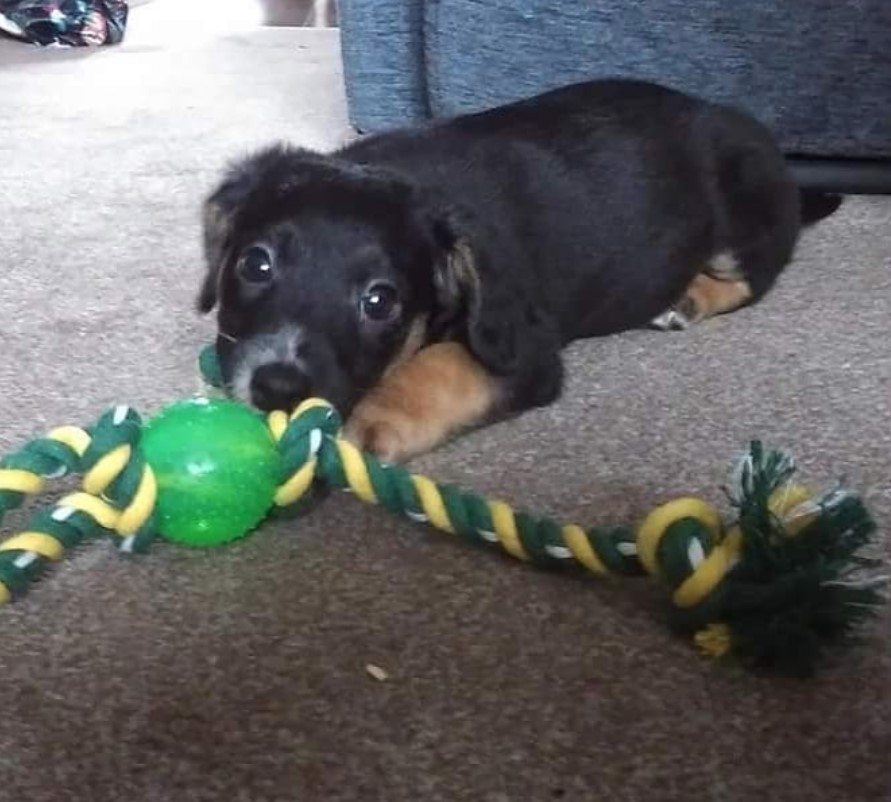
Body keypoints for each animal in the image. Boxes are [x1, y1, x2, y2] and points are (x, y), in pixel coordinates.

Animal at [197, 79, 844, 462]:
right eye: (255, 264)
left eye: (380, 301)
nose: (278, 389)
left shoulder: (524, 349)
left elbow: (439, 366)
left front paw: (374, 421)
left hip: (739, 211)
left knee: (752, 275)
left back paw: (689, 297)